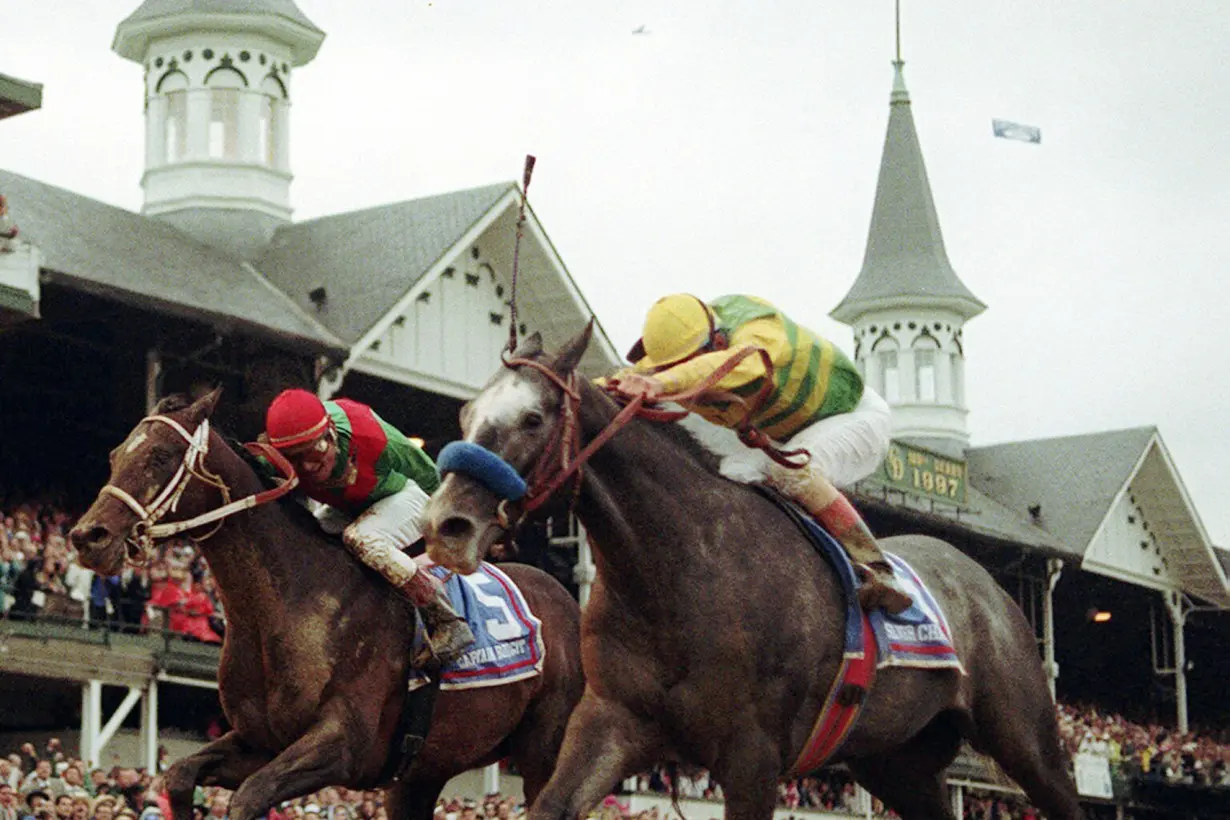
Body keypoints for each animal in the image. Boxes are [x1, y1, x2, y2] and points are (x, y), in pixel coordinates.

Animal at [67, 390, 585, 820]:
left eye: (160, 455)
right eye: (115, 455)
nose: (88, 537)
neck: (290, 603)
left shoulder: (344, 745)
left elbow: (249, 798)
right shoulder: (261, 740)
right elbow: (178, 777)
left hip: (545, 749)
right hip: (423, 771)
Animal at [423, 327, 1087, 820]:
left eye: (533, 418)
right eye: (465, 413)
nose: (446, 525)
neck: (678, 572)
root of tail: (985, 582)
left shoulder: (753, 757)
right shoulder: (610, 722)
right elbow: (553, 803)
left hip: (1026, 738)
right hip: (896, 757)